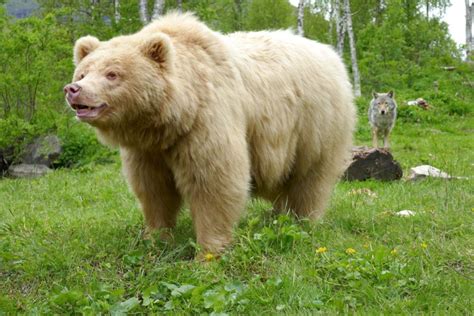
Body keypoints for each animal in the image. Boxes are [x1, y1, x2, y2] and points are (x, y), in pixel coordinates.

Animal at [64, 12, 356, 254]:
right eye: (83, 72)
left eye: (112, 74)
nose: (73, 89)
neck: (171, 118)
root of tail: (332, 55)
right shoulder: (147, 149)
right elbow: (153, 189)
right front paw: (155, 238)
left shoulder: (206, 121)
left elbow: (213, 183)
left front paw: (208, 251)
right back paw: (277, 215)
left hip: (314, 125)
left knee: (310, 179)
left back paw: (303, 220)